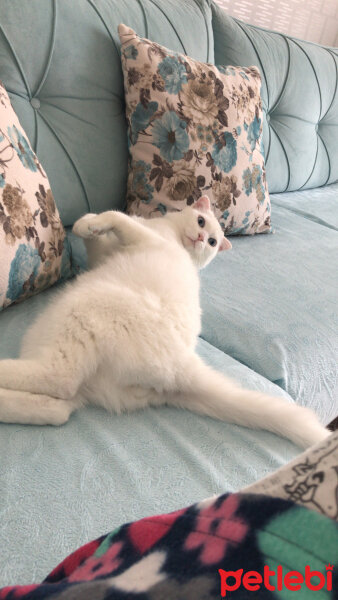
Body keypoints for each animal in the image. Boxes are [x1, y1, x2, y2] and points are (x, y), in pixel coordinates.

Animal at [0, 195, 328, 448]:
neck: (174, 238)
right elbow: (96, 241)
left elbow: (116, 216)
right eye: (201, 222)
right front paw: (89, 227)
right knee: (58, 410)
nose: (201, 239)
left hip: (78, 315)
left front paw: (87, 222)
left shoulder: (141, 234)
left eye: (212, 241)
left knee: (58, 380)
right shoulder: (102, 255)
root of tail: (182, 367)